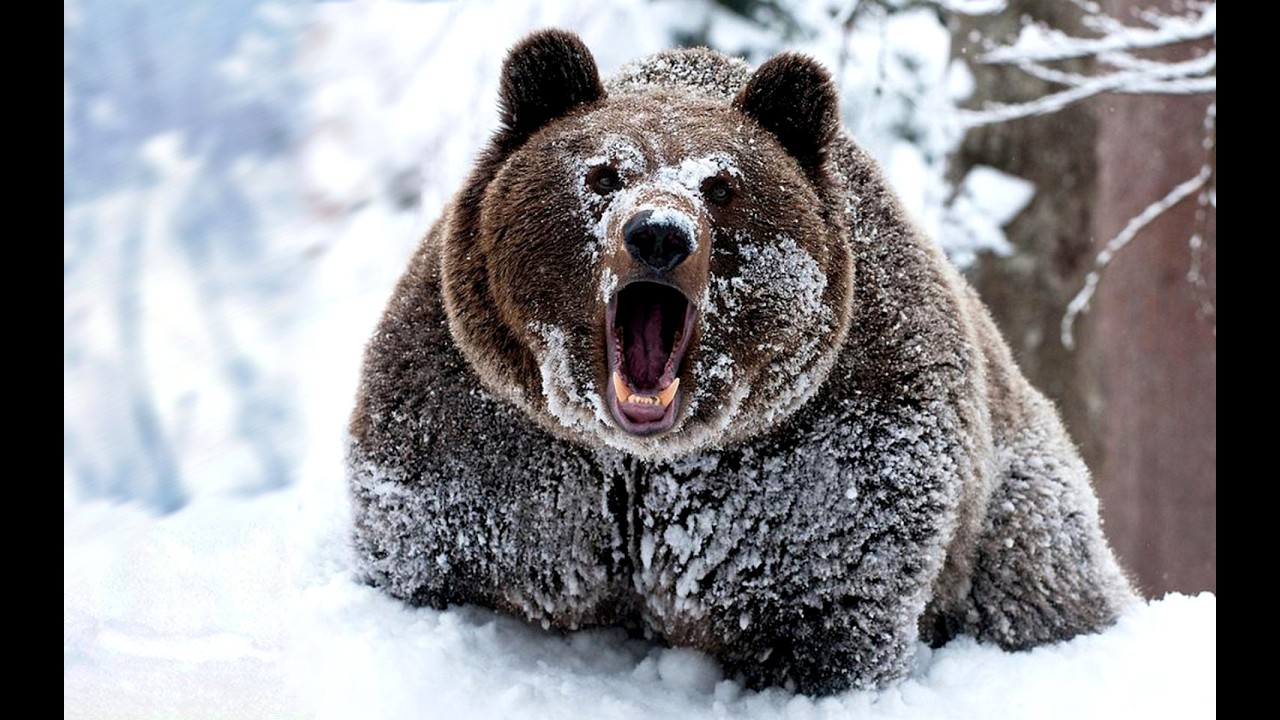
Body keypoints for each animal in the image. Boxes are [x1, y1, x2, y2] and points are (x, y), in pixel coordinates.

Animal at [346, 29, 1138, 696]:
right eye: (603, 173)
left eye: (722, 186)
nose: (658, 234)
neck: (643, 460)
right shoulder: (492, 431)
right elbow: (437, 546)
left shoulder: (820, 456)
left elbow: (825, 603)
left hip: (1017, 503)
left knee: (1039, 579)